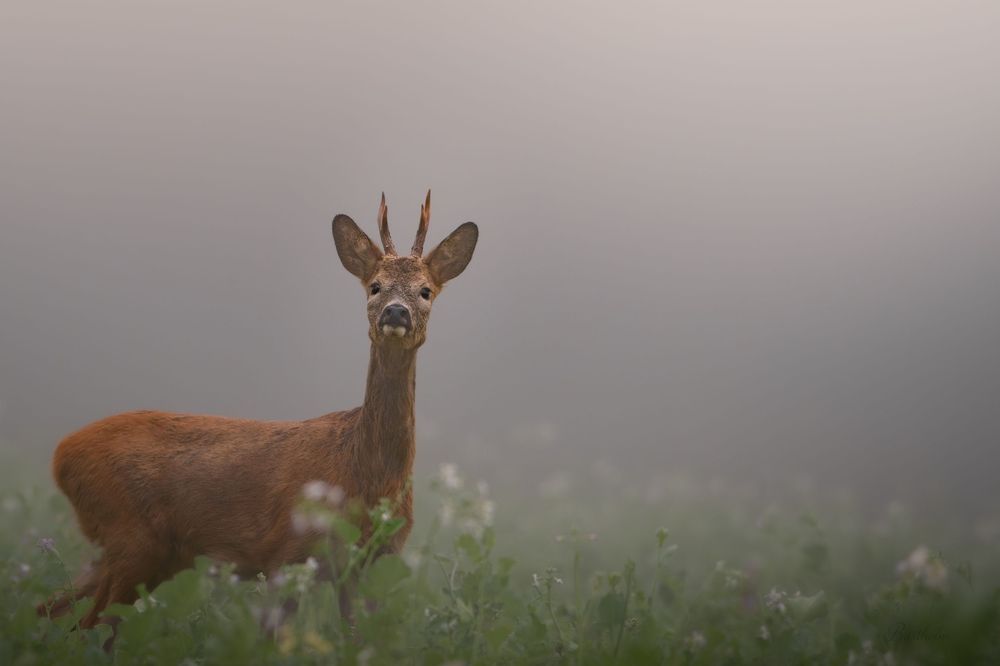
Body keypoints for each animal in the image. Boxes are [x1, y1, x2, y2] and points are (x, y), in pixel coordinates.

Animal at [39, 191, 478, 629]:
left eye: (425, 291)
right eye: (375, 286)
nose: (395, 312)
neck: (363, 476)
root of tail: (61, 454)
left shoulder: (368, 565)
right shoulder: (287, 552)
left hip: (136, 553)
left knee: (52, 609)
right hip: (131, 537)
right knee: (84, 625)